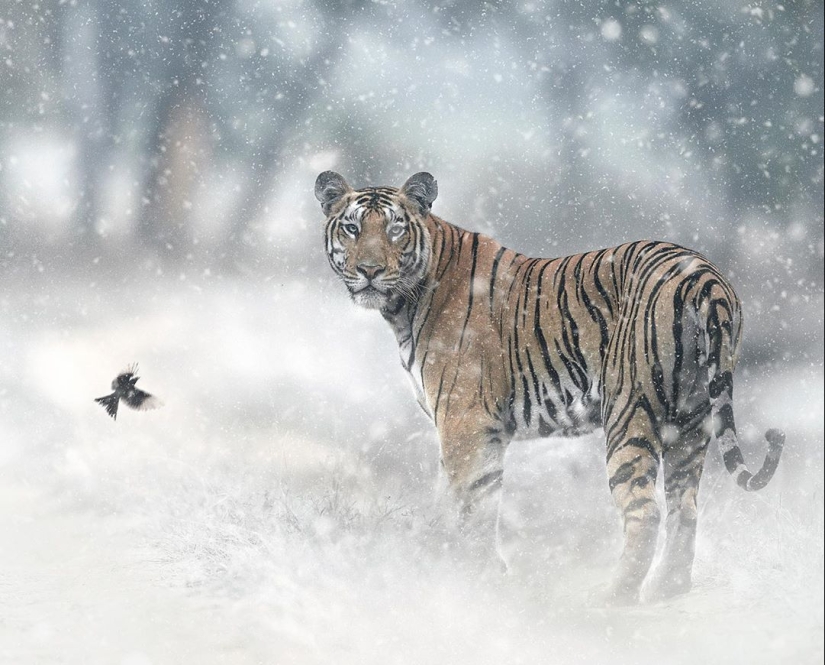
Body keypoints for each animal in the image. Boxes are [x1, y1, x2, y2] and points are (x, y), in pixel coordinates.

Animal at [316, 170, 784, 600]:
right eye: (352, 228)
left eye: (395, 228)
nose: (370, 271)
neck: (404, 305)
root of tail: (703, 275)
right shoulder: (473, 430)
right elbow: (467, 500)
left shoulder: (464, 421)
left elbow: (470, 506)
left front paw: (469, 576)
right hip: (691, 418)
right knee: (685, 508)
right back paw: (668, 590)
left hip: (630, 411)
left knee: (645, 510)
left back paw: (616, 594)